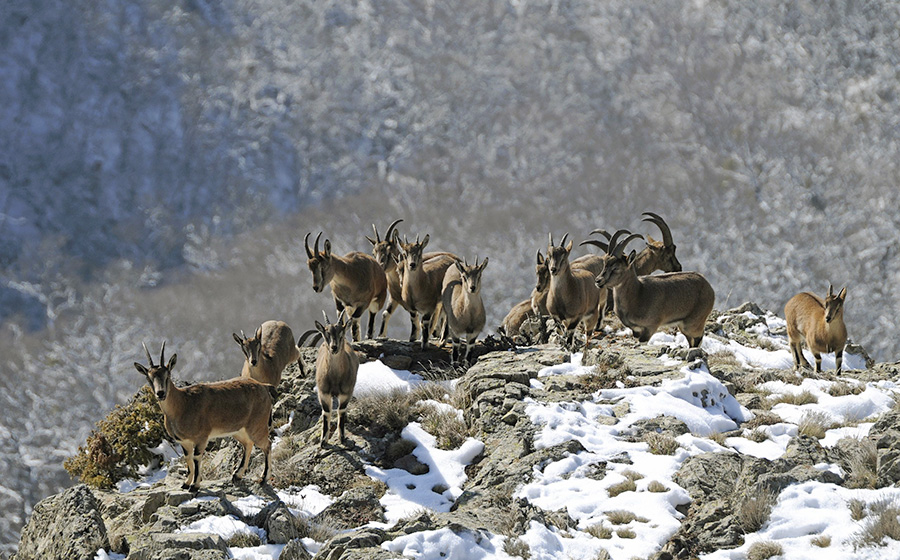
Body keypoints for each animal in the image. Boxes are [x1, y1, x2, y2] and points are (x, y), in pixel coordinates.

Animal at [134, 342, 274, 492]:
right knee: (248, 444)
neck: (182, 405)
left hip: (257, 425)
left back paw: (263, 478)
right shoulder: (184, 441)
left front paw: (194, 485)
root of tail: (264, 387)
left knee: (267, 444)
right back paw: (237, 475)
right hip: (239, 430)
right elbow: (188, 458)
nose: (160, 393)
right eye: (149, 378)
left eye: (168, 375)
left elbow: (196, 457)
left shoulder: (201, 437)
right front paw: (186, 483)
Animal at [314, 311, 360, 447]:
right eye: (326, 334)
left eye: (341, 333)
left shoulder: (346, 393)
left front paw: (342, 438)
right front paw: (323, 441)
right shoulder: (323, 393)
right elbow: (326, 413)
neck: (334, 378)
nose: (334, 347)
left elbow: (341, 411)